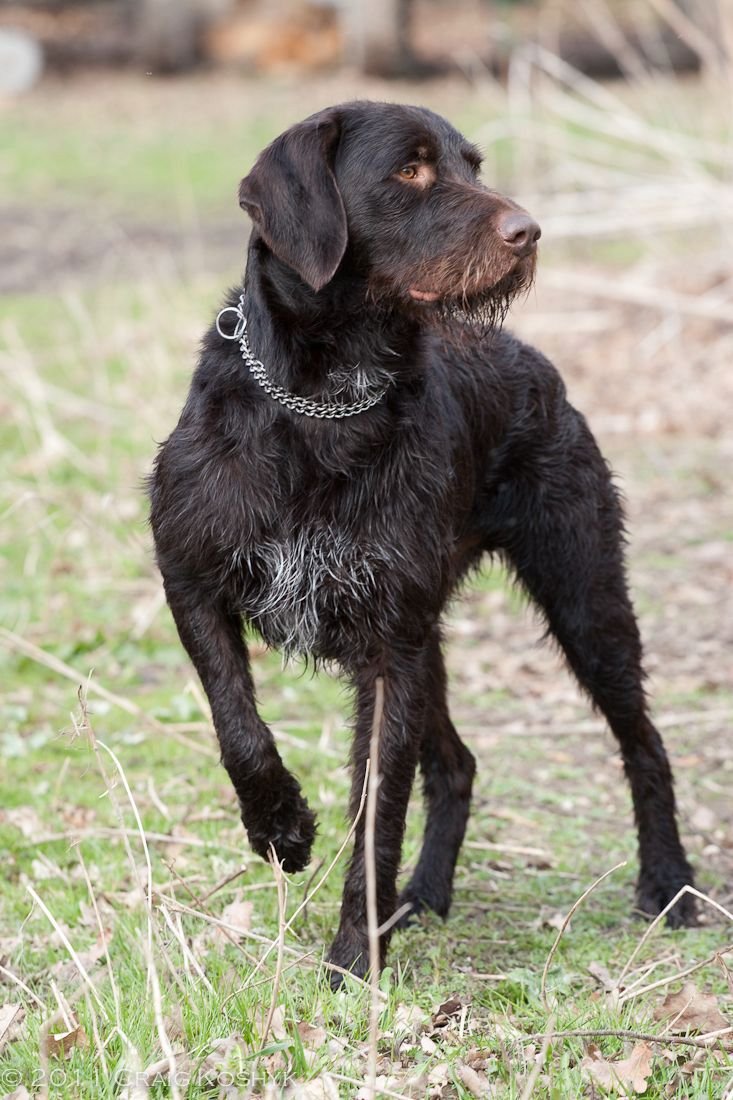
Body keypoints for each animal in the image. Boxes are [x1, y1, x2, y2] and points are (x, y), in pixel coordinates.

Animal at [147, 101, 691, 981]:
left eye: (473, 166)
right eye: (409, 170)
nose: (529, 231)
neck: (325, 402)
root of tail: (528, 355)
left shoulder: (386, 649)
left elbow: (380, 807)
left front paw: (352, 958)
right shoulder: (192, 581)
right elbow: (238, 727)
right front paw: (282, 828)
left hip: (583, 598)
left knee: (643, 741)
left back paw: (670, 885)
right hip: (433, 630)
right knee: (458, 762)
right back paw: (423, 897)